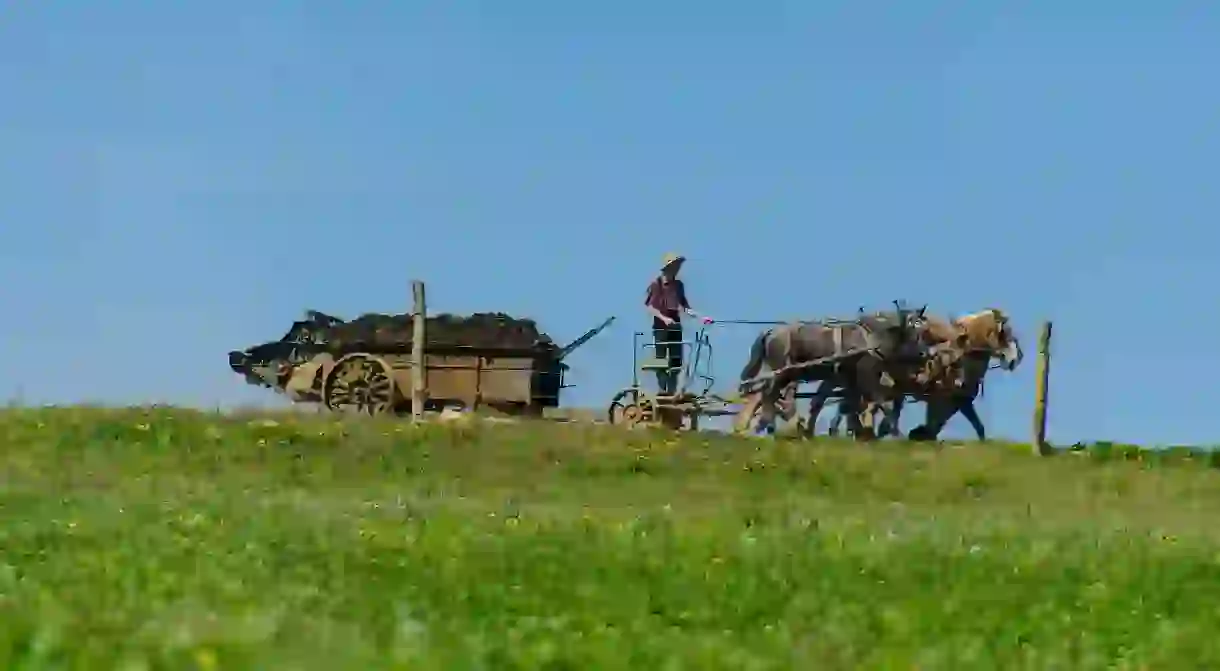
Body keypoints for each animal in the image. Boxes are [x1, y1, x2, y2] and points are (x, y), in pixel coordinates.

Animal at [732, 306, 922, 441]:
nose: (922, 354)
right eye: (914, 330)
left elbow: (839, 403)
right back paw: (775, 425)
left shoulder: (843, 378)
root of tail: (771, 331)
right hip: (783, 372)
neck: (869, 339)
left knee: (768, 396)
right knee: (770, 396)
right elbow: (876, 402)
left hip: (786, 374)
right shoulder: (863, 376)